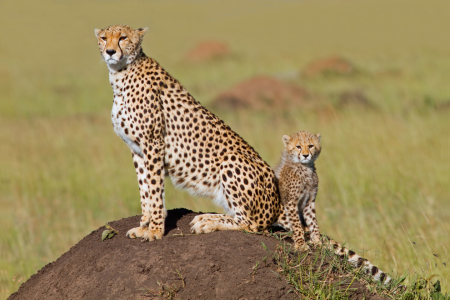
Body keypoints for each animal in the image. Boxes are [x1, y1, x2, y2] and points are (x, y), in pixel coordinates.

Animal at [94, 25, 282, 241]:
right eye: (104, 38)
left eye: (123, 38)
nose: (110, 52)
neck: (120, 74)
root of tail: (278, 201)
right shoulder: (137, 149)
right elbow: (145, 189)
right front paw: (144, 226)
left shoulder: (153, 144)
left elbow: (155, 189)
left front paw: (155, 230)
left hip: (232, 160)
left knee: (251, 224)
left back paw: (207, 222)